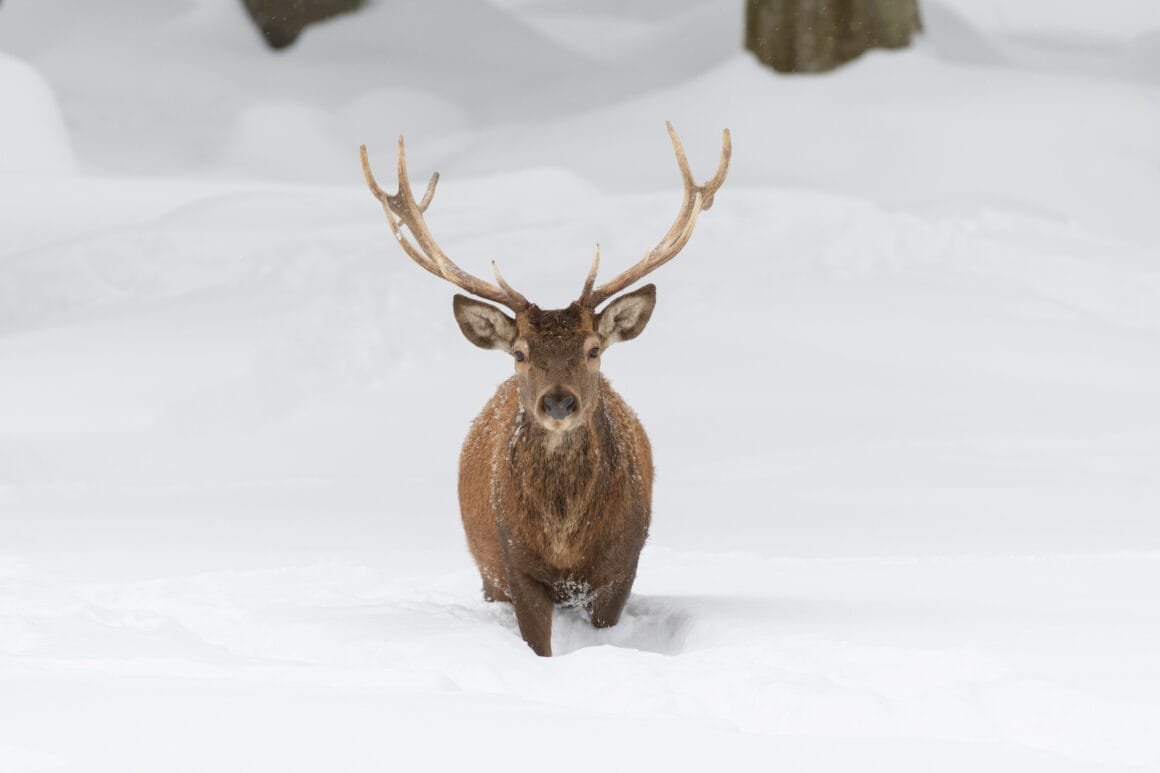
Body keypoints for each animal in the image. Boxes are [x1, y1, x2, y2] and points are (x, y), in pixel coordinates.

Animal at [360, 124, 730, 656]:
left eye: (594, 349)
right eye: (519, 352)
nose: (558, 400)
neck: (565, 542)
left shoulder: (621, 567)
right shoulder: (516, 565)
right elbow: (538, 645)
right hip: (487, 572)